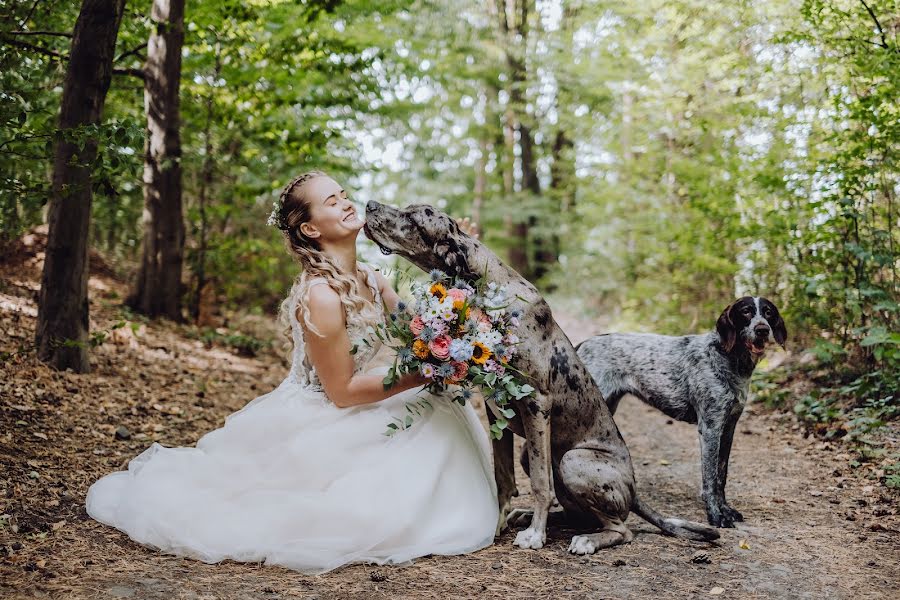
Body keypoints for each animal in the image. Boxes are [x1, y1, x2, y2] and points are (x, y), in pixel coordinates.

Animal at [362, 202, 720, 552]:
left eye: (412, 218)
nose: (369, 205)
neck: (490, 293)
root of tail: (634, 492)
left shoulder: (536, 402)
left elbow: (538, 482)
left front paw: (535, 535)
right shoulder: (495, 410)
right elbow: (503, 479)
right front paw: (497, 526)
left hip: (573, 460)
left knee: (620, 528)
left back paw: (586, 539)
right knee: (578, 513)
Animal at [580, 298, 784, 528]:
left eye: (768, 312)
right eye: (746, 312)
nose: (762, 330)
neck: (728, 358)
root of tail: (581, 345)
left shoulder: (728, 428)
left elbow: (721, 476)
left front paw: (726, 510)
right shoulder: (710, 428)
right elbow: (710, 480)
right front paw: (715, 515)